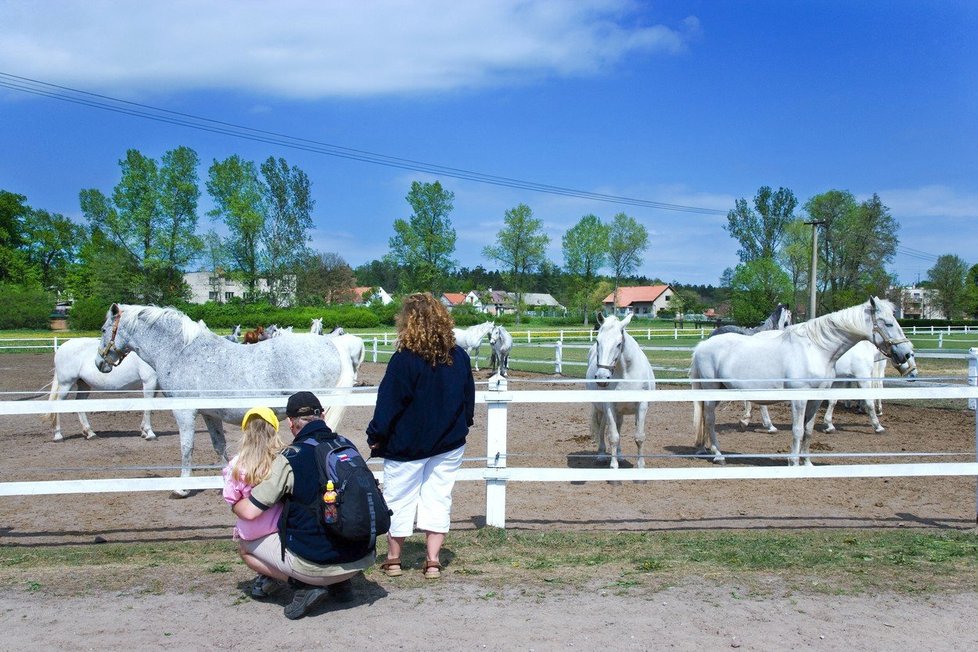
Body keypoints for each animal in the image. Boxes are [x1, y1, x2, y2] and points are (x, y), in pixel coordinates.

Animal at [94, 304, 354, 496]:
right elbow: (219, 445)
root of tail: (332, 345)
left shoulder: (184, 412)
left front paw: (182, 488)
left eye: (104, 329)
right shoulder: (210, 414)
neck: (181, 352)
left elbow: (186, 447)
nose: (99, 363)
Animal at [584, 312, 652, 468]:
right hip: (602, 409)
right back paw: (601, 455)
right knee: (602, 428)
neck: (626, 373)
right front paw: (613, 465)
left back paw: (620, 456)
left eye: (619, 344)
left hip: (619, 411)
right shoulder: (609, 406)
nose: (602, 377)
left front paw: (641, 464)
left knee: (618, 427)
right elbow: (613, 436)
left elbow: (639, 436)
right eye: (598, 341)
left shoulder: (642, 405)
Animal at [692, 298, 912, 466]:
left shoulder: (816, 399)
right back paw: (718, 455)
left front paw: (807, 462)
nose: (906, 353)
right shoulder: (799, 398)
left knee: (706, 418)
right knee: (710, 420)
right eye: (888, 323)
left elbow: (808, 430)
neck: (815, 349)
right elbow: (797, 430)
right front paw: (793, 462)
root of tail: (703, 345)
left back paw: (707, 449)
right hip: (711, 391)